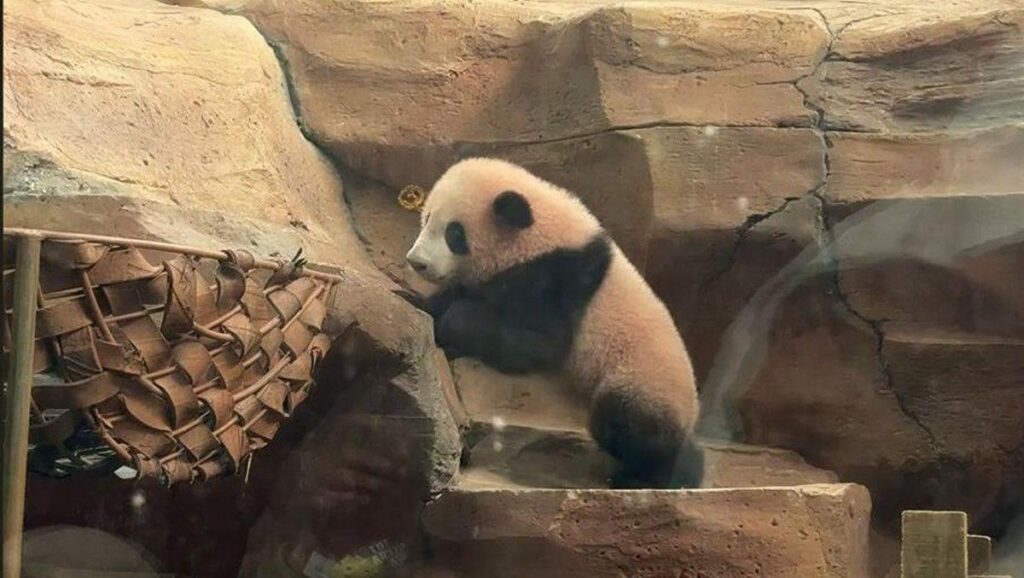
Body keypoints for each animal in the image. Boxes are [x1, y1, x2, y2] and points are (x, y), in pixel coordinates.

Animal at [404, 158, 704, 489]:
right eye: (426, 218)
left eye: (454, 233)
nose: (416, 262)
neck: (539, 235)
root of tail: (691, 412)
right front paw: (415, 301)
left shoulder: (560, 278)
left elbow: (537, 345)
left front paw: (454, 325)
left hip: (641, 379)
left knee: (625, 424)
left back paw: (648, 476)